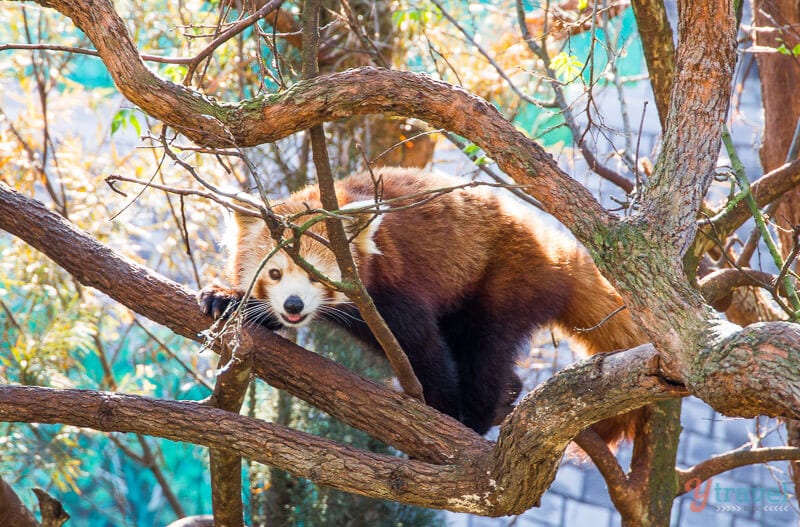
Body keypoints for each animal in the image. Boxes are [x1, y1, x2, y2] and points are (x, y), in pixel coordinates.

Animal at [197, 167, 648, 440]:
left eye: (316, 277)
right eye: (274, 274)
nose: (294, 306)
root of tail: (554, 248)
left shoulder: (394, 288)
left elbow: (424, 347)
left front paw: (445, 409)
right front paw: (227, 300)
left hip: (507, 276)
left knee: (487, 347)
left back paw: (479, 411)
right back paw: (509, 390)